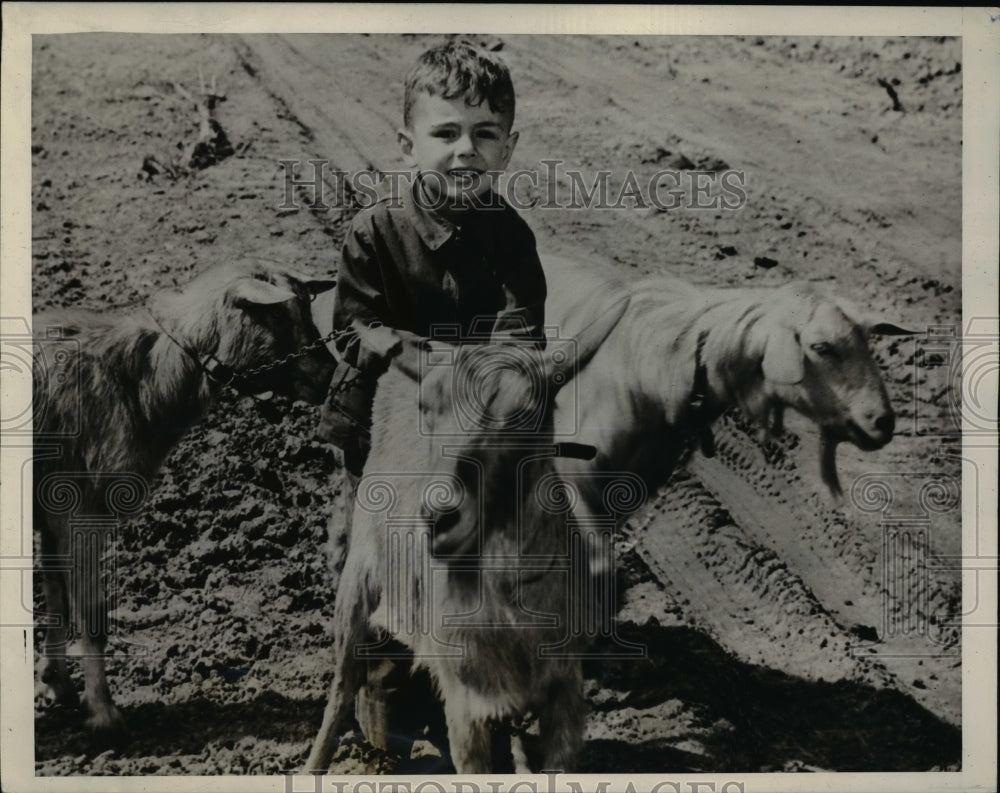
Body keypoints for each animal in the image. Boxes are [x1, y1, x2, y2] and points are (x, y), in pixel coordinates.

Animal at [33, 261, 336, 733]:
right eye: (276, 313)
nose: (330, 374)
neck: (143, 378)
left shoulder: (50, 510)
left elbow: (55, 594)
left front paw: (55, 684)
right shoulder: (81, 506)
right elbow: (88, 611)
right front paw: (103, 712)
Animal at [306, 296, 629, 774]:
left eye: (527, 414)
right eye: (426, 408)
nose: (439, 517)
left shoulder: (565, 687)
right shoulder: (463, 700)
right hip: (355, 589)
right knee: (341, 693)